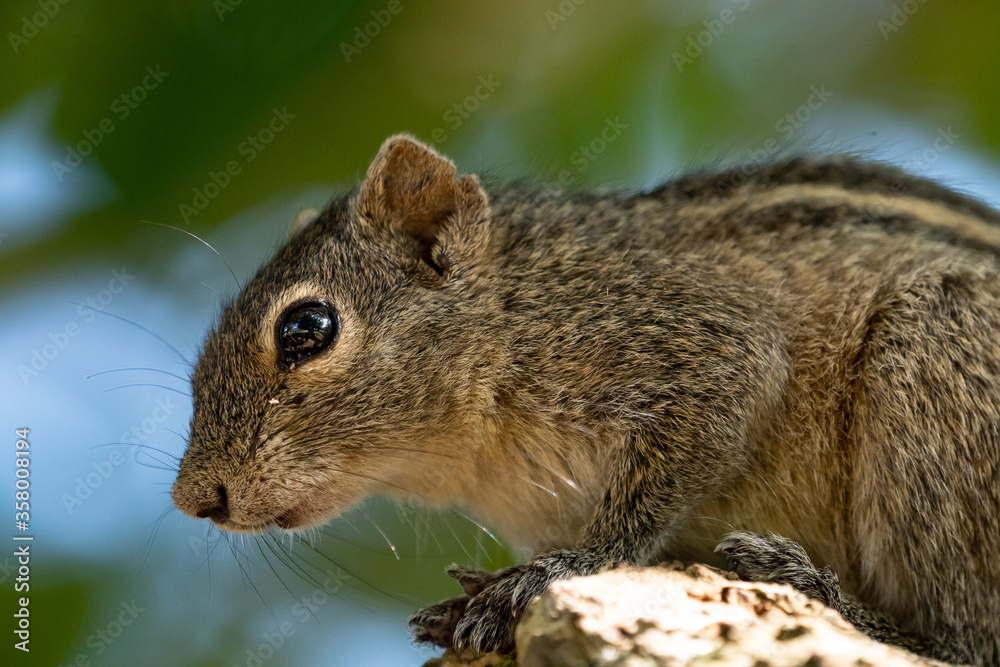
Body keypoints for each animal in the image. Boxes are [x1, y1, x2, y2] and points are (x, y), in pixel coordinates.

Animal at [171, 133, 1000, 665]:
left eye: (307, 327)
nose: (194, 497)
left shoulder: (705, 346)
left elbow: (651, 494)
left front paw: (563, 567)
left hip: (937, 355)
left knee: (966, 640)